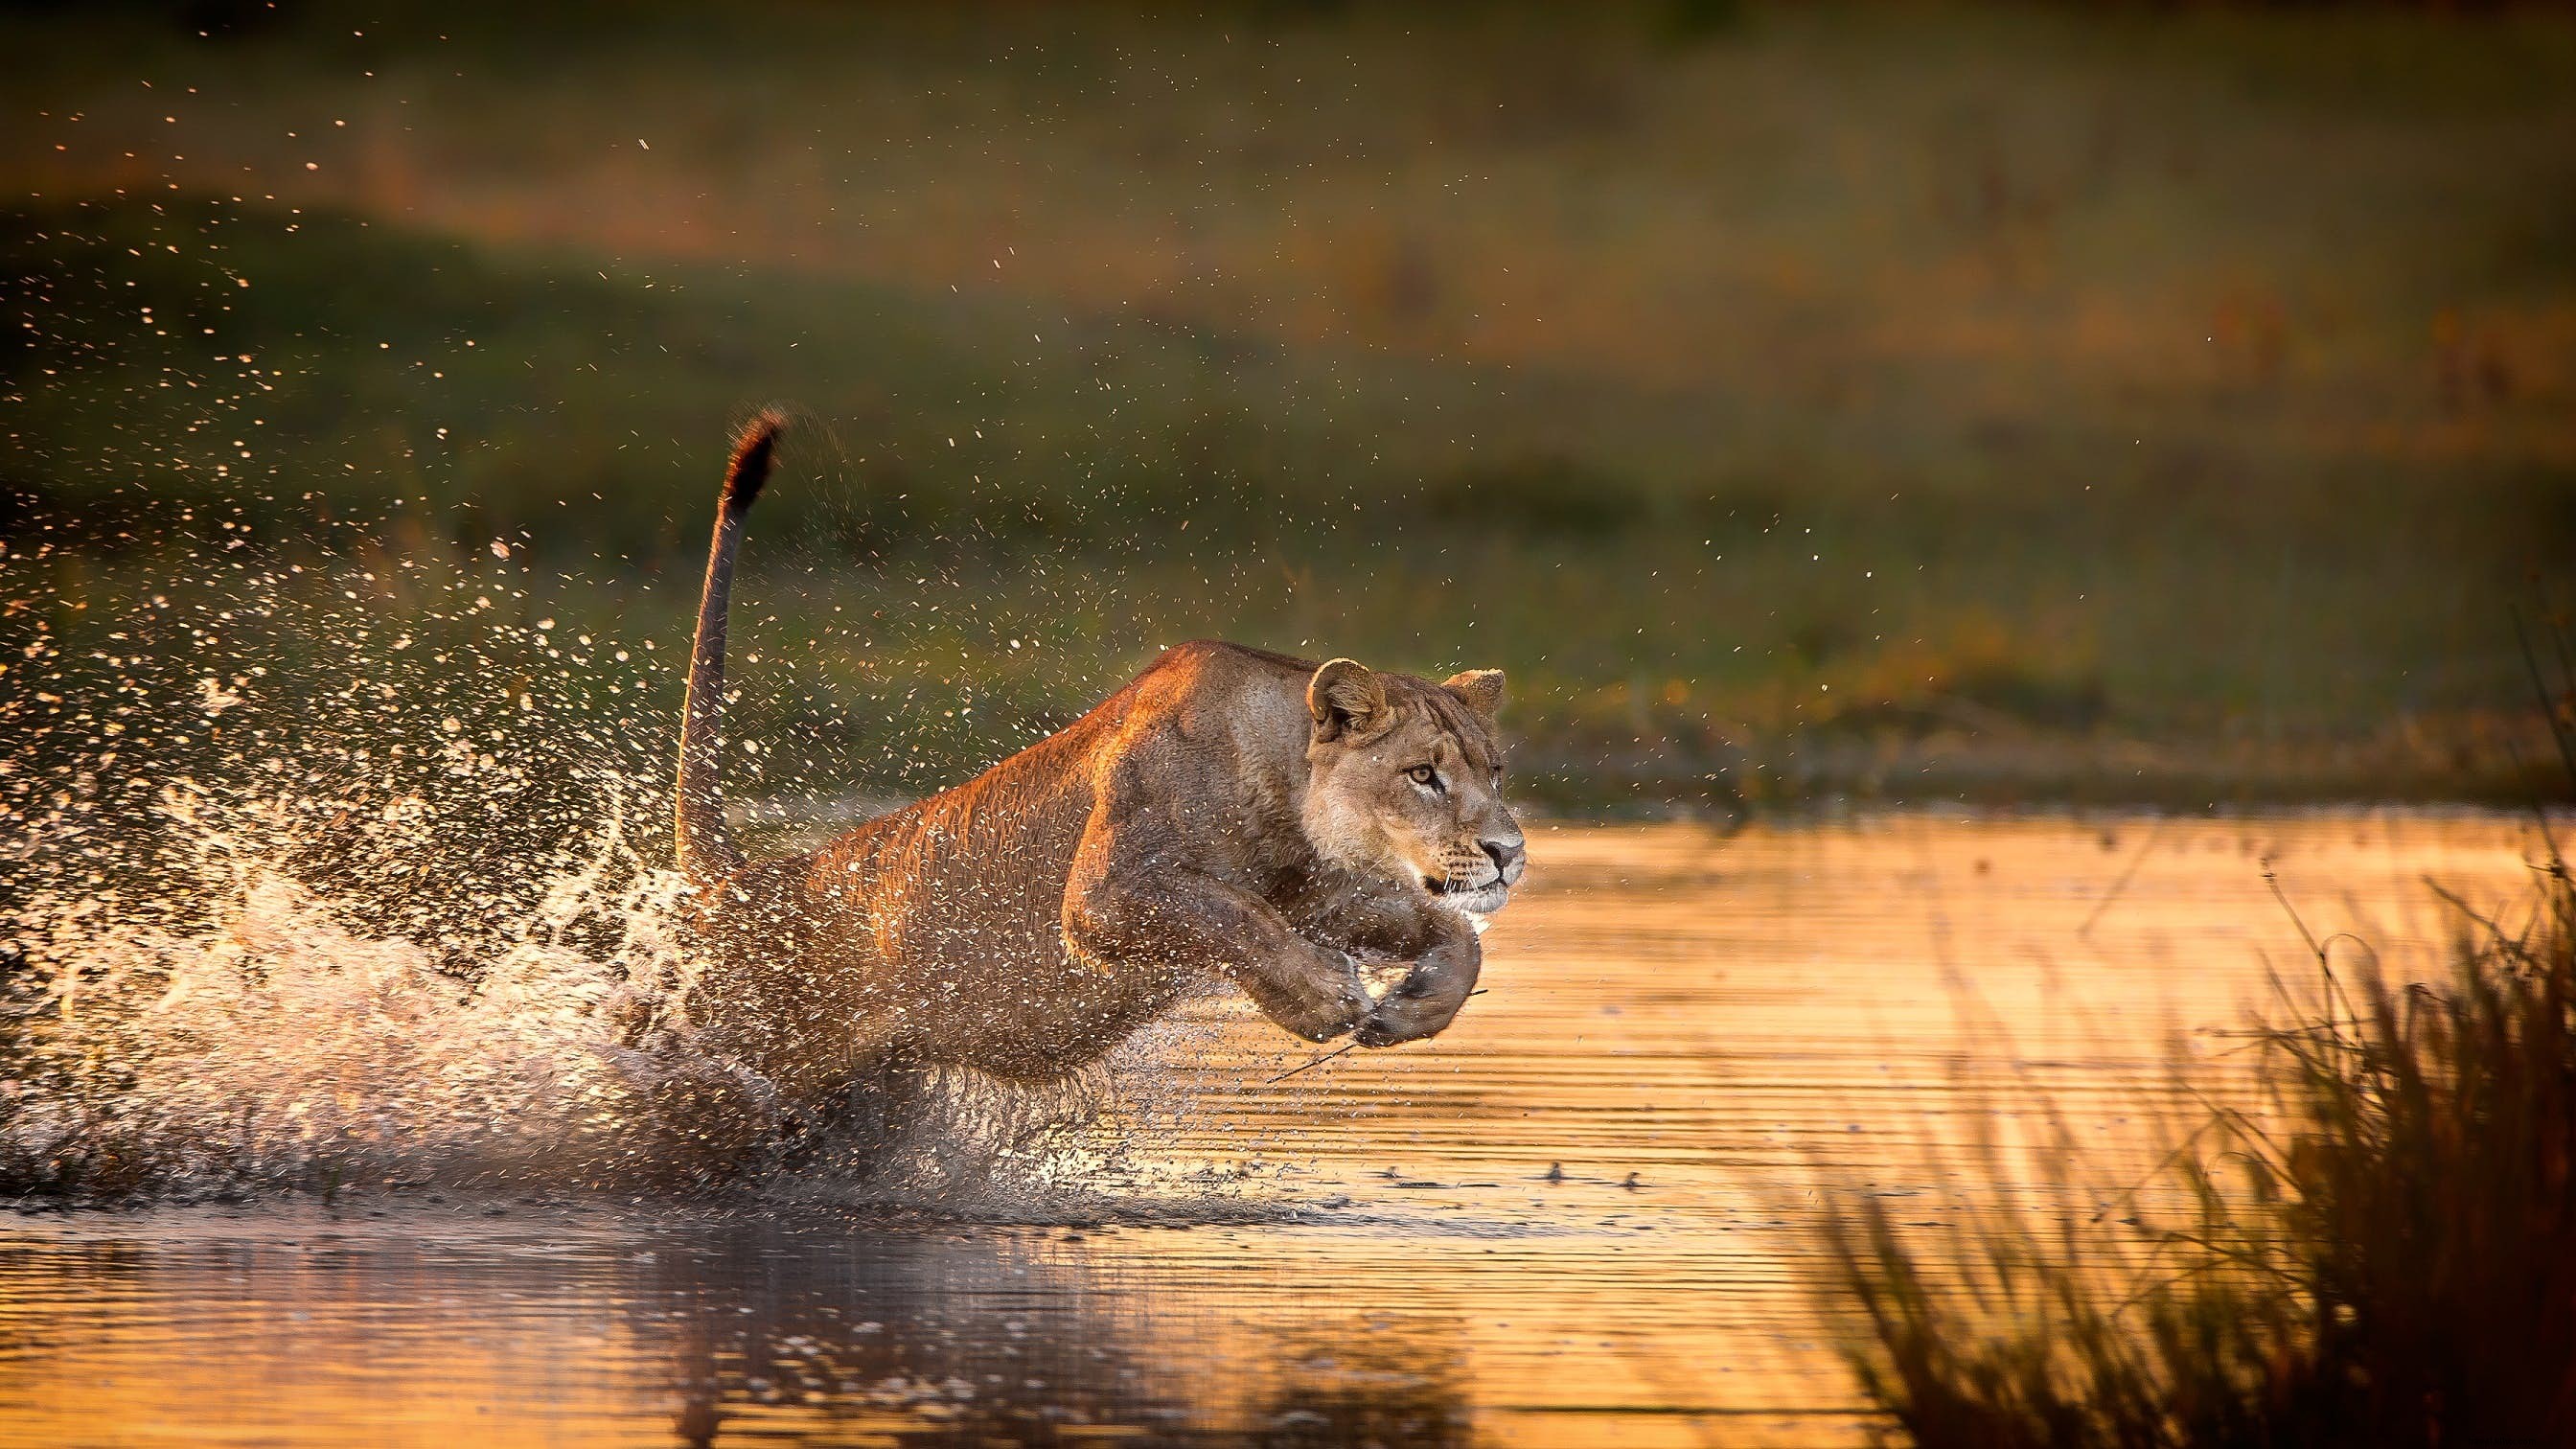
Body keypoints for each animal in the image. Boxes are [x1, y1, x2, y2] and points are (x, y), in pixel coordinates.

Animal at [668, 414, 1528, 1102]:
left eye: (1493, 771)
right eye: (1423, 775)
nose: (1509, 852)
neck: (1289, 812)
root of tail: (734, 886)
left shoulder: (1325, 896)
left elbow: (1457, 936)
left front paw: (1413, 1005)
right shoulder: (1104, 894)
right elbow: (1227, 914)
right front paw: (1320, 994)